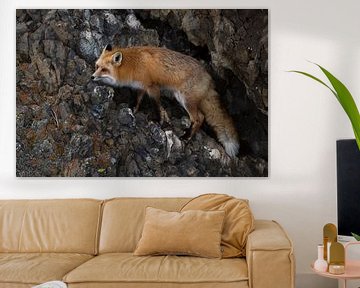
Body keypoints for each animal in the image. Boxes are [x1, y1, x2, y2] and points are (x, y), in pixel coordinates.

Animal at [91, 44, 240, 158]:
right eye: (97, 66)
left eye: (104, 69)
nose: (92, 77)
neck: (133, 64)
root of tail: (209, 78)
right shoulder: (141, 87)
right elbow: (138, 100)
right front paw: (134, 109)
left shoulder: (153, 87)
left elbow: (157, 106)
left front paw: (158, 121)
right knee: (202, 116)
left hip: (185, 99)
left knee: (198, 119)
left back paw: (186, 137)